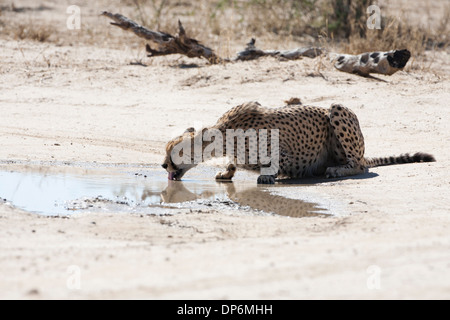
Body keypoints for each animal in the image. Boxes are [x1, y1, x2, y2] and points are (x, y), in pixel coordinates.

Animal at [162, 100, 436, 185]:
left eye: (174, 152)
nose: (163, 166)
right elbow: (235, 163)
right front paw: (227, 171)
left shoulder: (288, 152)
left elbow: (275, 163)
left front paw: (269, 175)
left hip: (336, 109)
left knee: (359, 165)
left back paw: (336, 170)